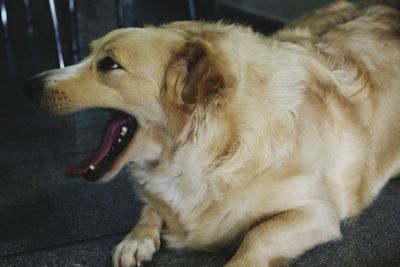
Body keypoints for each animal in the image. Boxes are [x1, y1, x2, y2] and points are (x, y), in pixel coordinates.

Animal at [23, 1, 400, 266]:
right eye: (87, 54)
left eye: (109, 65)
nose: (28, 85)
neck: (208, 146)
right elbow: (149, 207)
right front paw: (135, 239)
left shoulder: (316, 212)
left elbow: (257, 235)